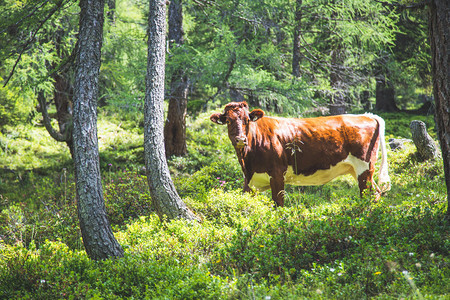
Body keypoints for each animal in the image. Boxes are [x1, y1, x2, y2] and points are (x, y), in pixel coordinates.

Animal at [211, 101, 390, 206]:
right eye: (228, 120)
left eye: (247, 120)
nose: (241, 139)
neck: (247, 161)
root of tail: (367, 116)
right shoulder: (249, 181)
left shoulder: (277, 174)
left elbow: (278, 205)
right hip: (359, 170)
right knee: (376, 193)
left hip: (364, 166)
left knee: (367, 195)